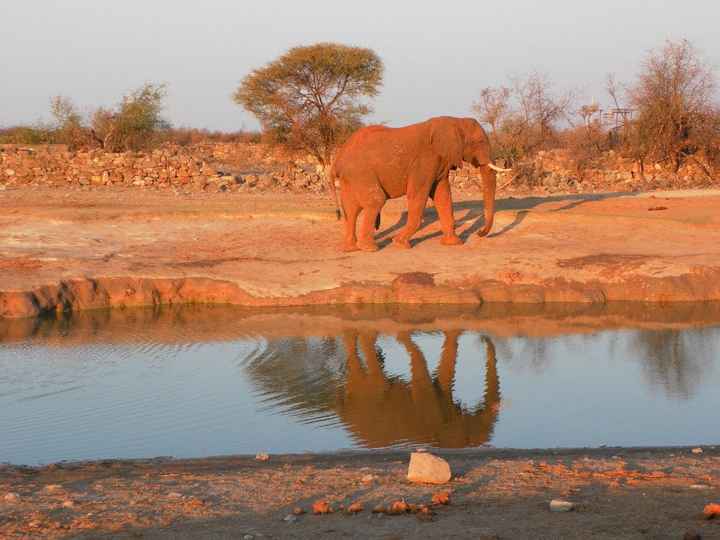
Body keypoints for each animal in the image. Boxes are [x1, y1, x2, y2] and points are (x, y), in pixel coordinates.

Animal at [329, 116, 509, 252]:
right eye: (479, 142)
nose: (479, 233)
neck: (455, 121)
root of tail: (338, 159)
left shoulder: (440, 163)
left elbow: (442, 196)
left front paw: (453, 244)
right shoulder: (424, 162)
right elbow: (418, 195)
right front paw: (400, 244)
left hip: (351, 177)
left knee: (351, 209)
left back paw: (351, 248)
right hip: (361, 173)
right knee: (375, 200)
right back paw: (370, 248)